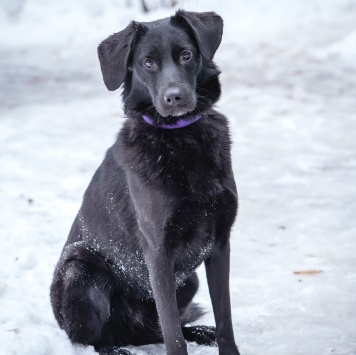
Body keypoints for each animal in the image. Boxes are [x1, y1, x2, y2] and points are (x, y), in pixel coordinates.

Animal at [49, 9, 239, 354]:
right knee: (92, 339)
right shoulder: (158, 254)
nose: (175, 97)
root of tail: (128, 331)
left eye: (186, 55)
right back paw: (114, 349)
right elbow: (174, 338)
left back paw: (199, 331)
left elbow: (224, 321)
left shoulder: (220, 244)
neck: (181, 137)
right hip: (79, 272)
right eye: (147, 63)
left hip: (189, 280)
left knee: (157, 331)